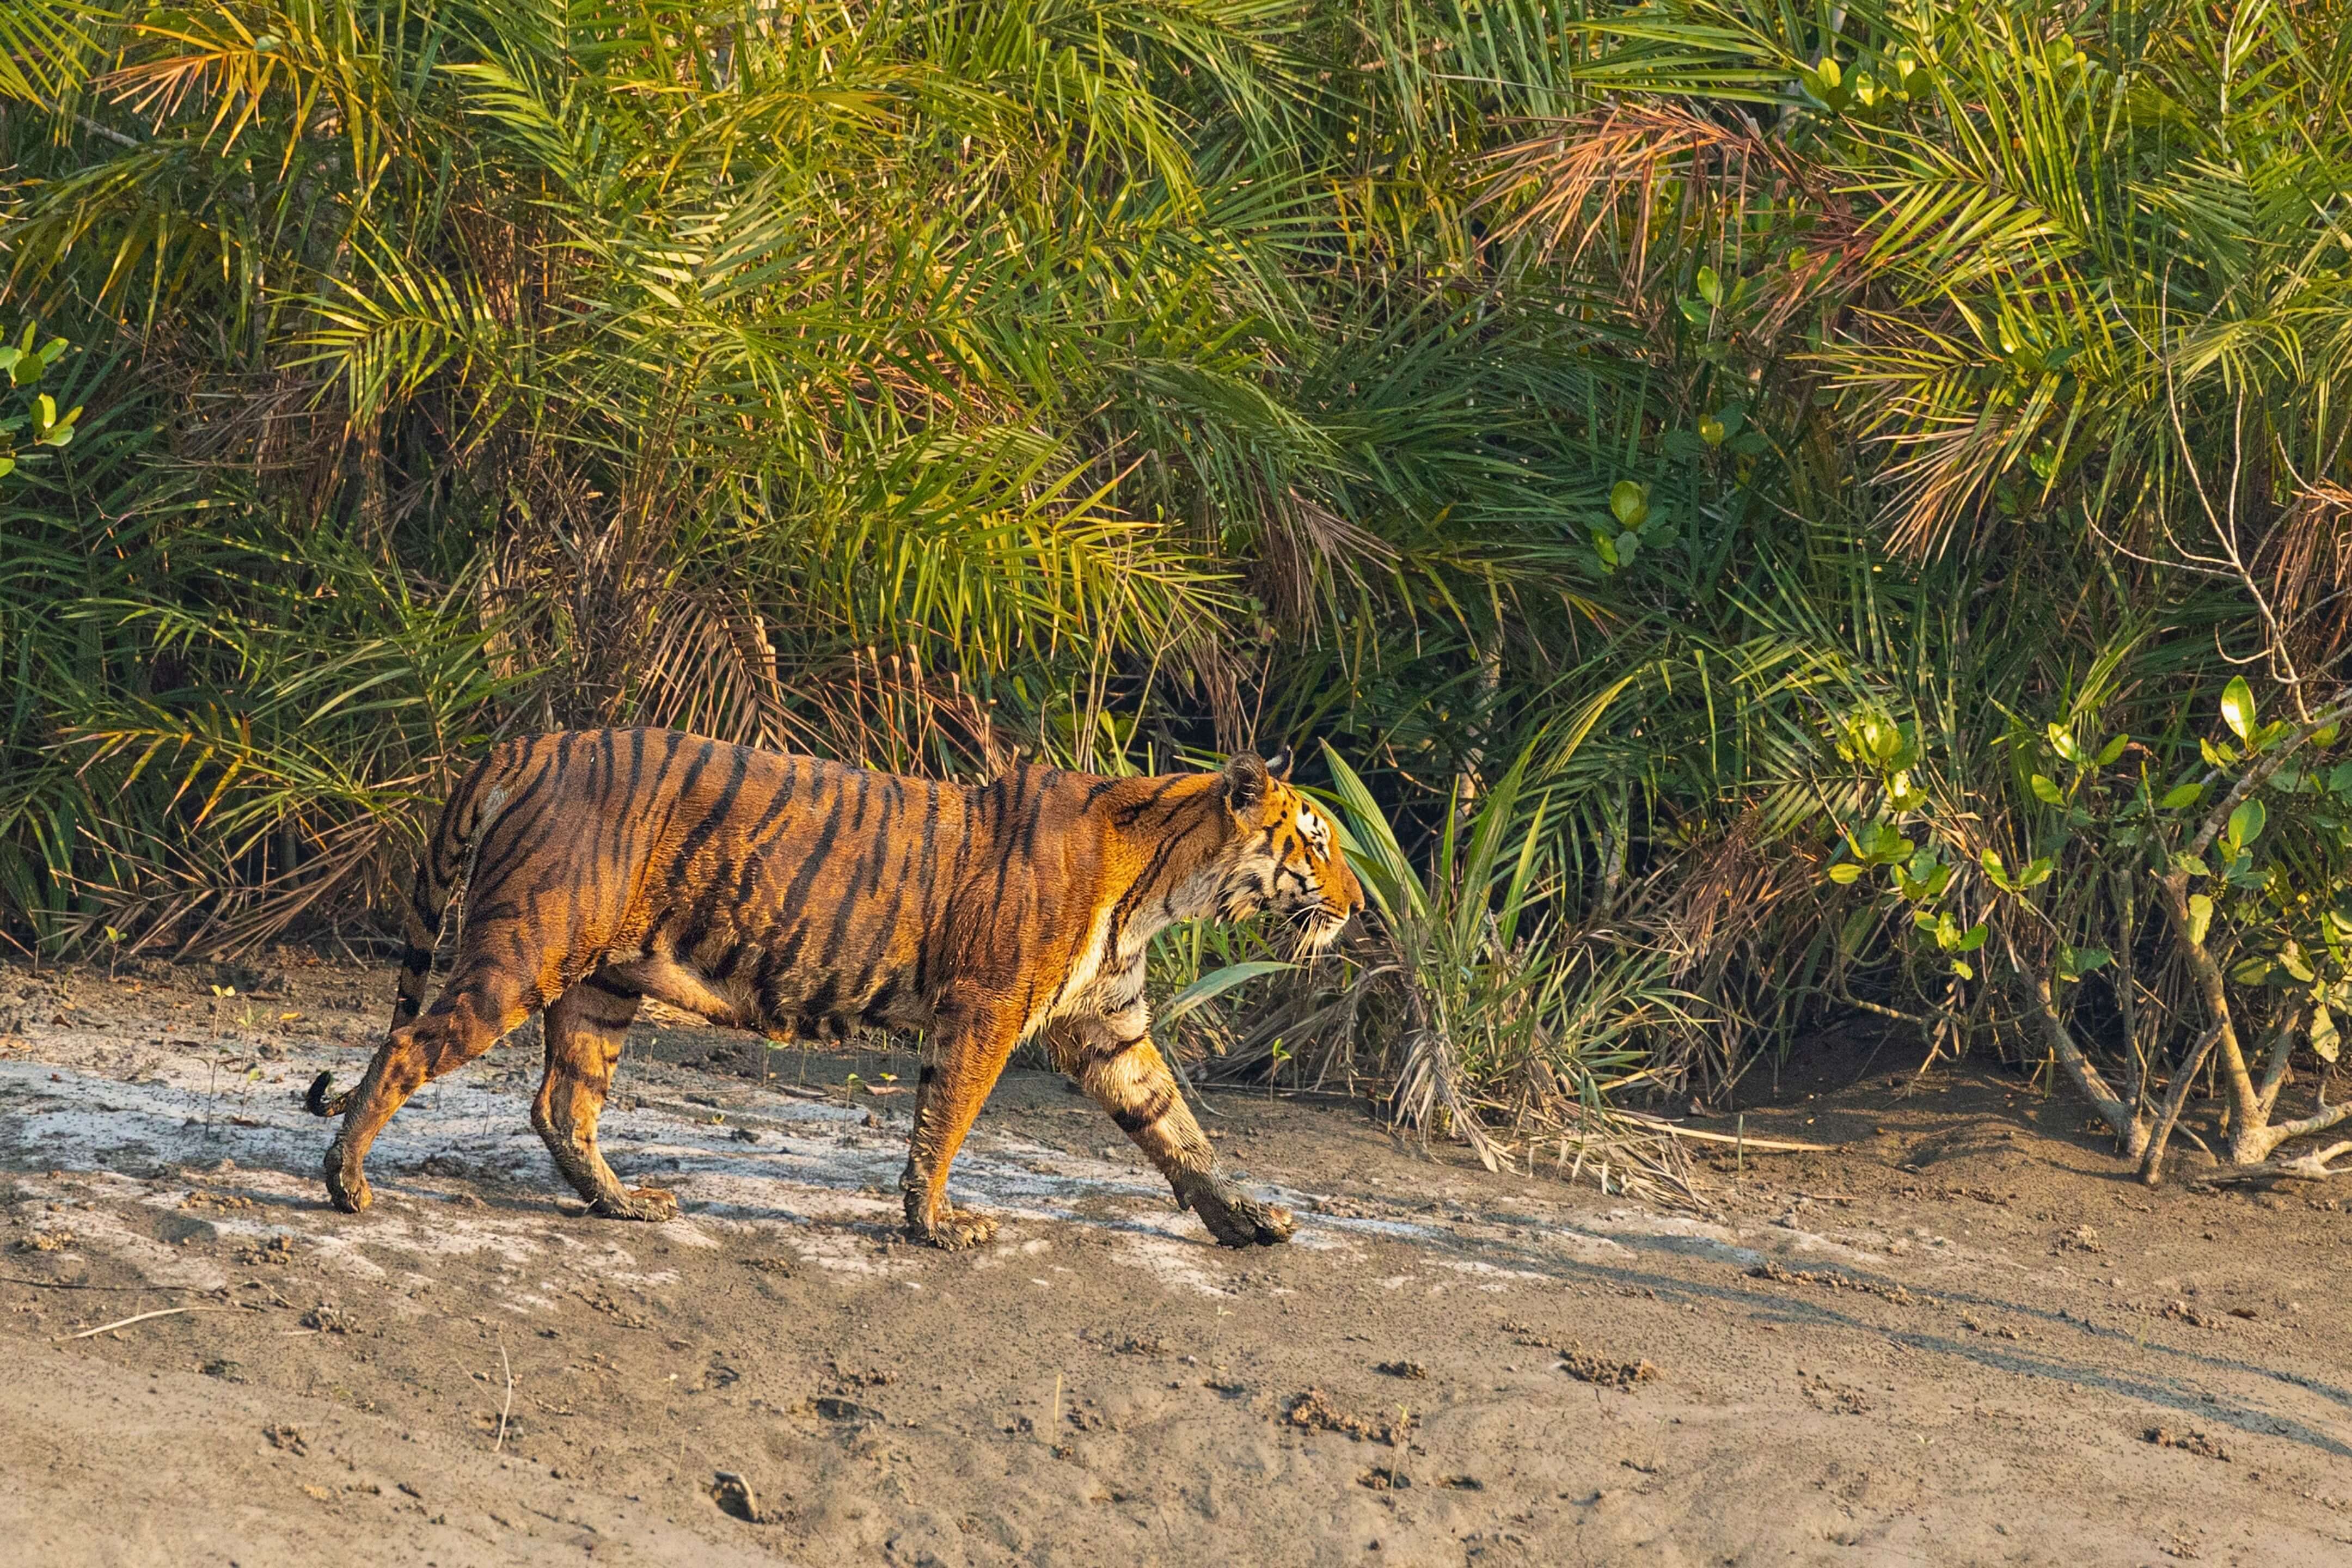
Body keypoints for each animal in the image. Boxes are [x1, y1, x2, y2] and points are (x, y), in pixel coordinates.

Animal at [303, 733, 1364, 1251]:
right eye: (1316, 843)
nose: (1358, 907)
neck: (1163, 884)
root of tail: (525, 744)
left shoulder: (1111, 1030)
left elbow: (1179, 1131)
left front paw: (1246, 1221)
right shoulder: (984, 1012)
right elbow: (945, 1125)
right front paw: (937, 1227)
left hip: (601, 986)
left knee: (562, 1103)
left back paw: (625, 1205)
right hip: (523, 955)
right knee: (407, 1047)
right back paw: (346, 1183)